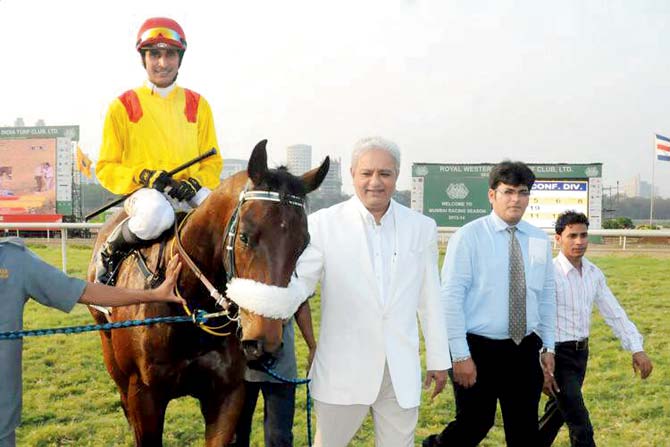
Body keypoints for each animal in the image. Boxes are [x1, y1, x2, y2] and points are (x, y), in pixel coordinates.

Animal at [88, 139, 330, 444]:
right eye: (244, 237)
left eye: (303, 244)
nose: (264, 342)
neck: (191, 305)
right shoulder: (144, 394)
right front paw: (157, 178)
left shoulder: (228, 393)